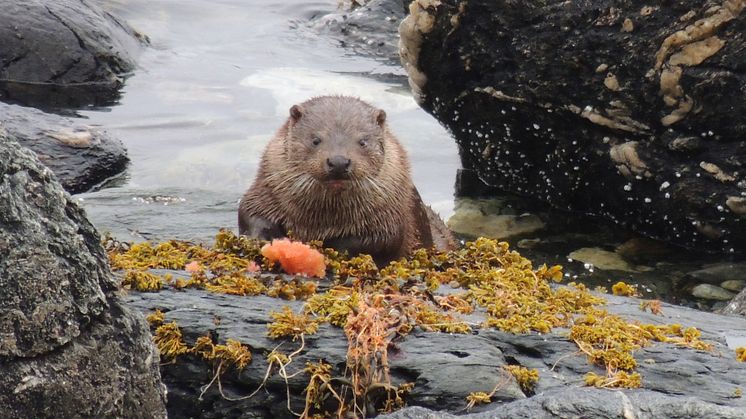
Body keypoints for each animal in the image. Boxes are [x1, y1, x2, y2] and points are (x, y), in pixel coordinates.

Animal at [238, 95, 450, 266]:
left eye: (363, 141)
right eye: (315, 140)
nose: (339, 162)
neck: (322, 221)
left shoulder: (389, 217)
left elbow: (382, 240)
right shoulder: (265, 189)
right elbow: (249, 213)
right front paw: (262, 238)